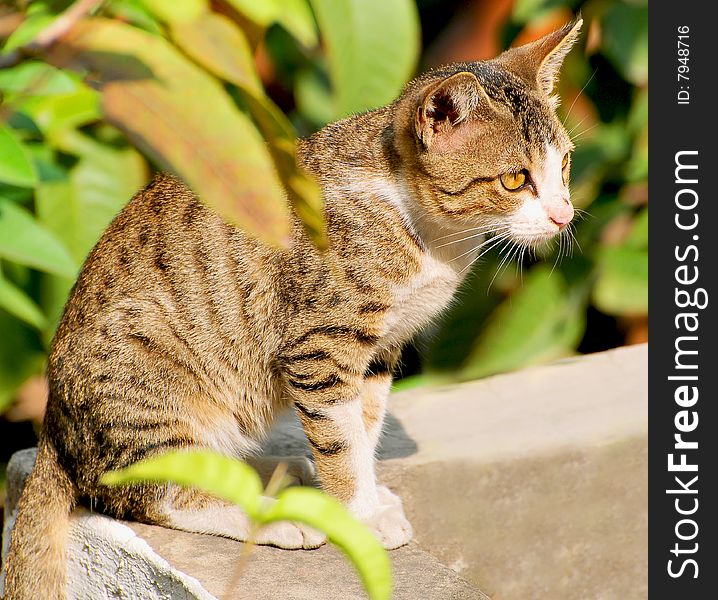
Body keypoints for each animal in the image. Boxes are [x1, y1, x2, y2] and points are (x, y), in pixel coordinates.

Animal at [2, 18, 584, 600]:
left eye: (565, 164)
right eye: (515, 180)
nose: (565, 215)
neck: (431, 236)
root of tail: (52, 428)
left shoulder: (379, 349)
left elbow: (364, 427)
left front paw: (369, 494)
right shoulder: (321, 347)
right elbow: (341, 440)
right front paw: (360, 516)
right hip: (154, 388)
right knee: (146, 491)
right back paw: (274, 517)